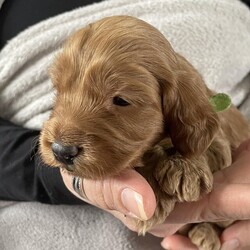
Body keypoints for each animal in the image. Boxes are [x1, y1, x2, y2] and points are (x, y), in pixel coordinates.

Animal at [39, 16, 250, 250]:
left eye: (121, 100)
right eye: (59, 90)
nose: (61, 151)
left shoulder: (220, 139)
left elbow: (204, 146)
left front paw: (186, 168)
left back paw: (206, 233)